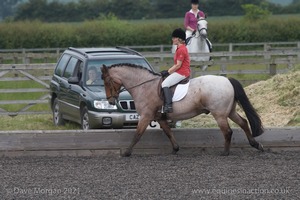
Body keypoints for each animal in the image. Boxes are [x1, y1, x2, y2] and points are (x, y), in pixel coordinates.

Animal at [101, 63, 264, 157]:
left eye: (107, 81)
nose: (110, 101)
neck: (144, 86)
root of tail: (227, 80)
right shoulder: (159, 117)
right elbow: (168, 132)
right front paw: (175, 149)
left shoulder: (146, 116)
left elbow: (137, 134)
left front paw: (127, 152)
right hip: (229, 111)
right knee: (243, 123)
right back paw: (256, 145)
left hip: (219, 114)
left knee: (228, 131)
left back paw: (225, 152)